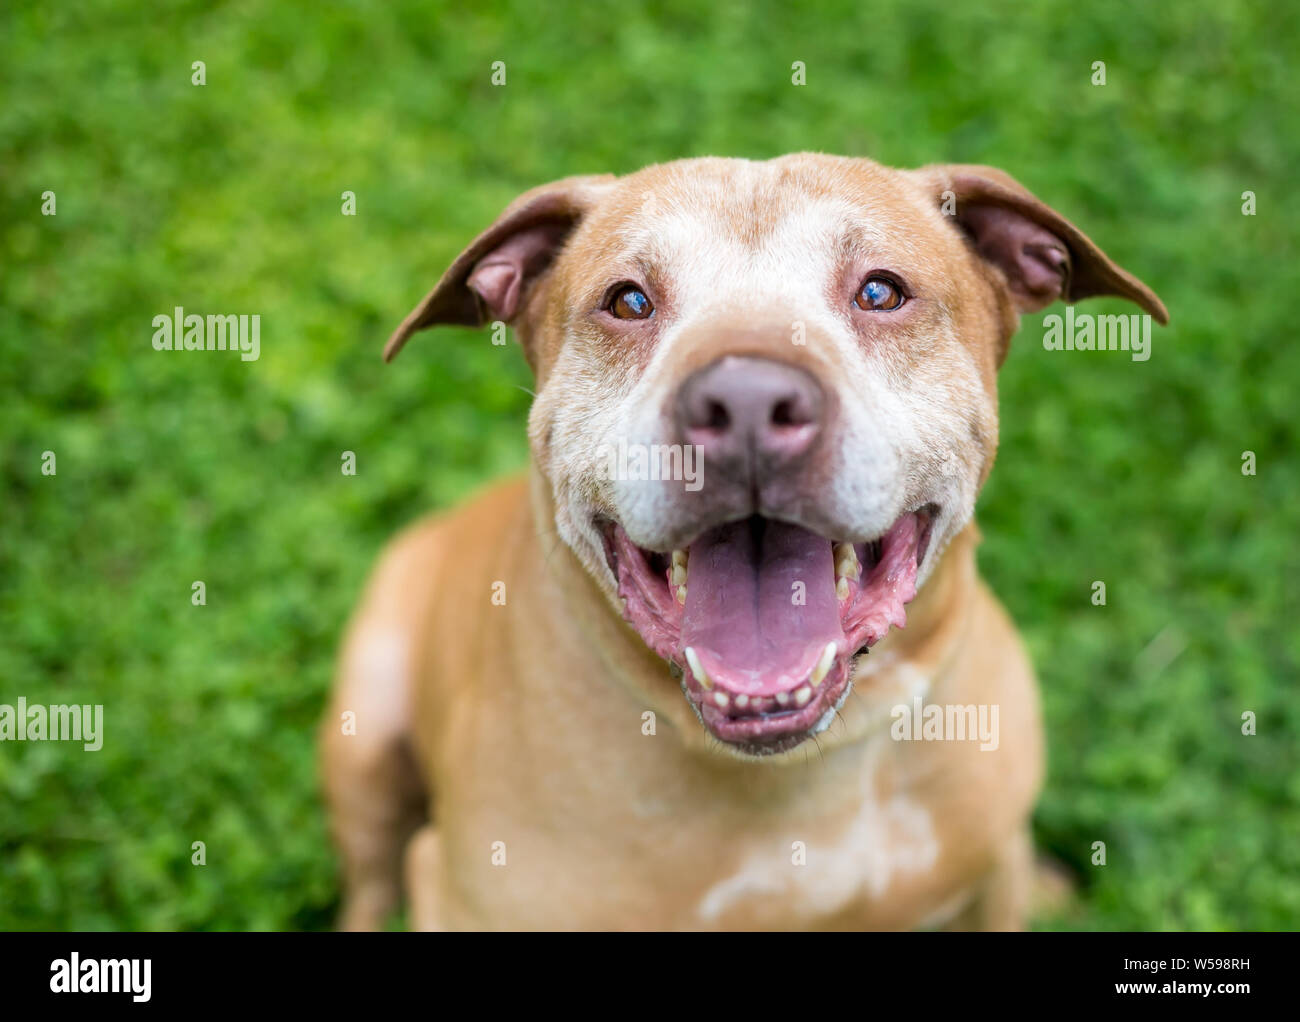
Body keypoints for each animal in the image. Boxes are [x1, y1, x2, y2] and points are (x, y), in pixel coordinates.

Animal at [317, 155, 1170, 925]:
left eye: (880, 291)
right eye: (628, 300)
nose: (749, 402)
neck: (809, 774)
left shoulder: (986, 882)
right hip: (364, 736)